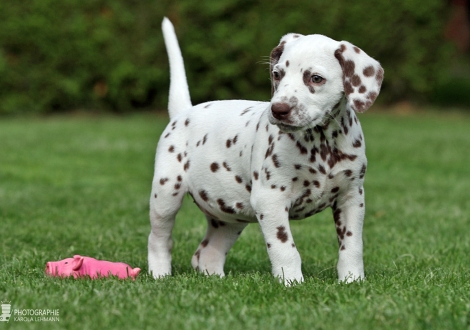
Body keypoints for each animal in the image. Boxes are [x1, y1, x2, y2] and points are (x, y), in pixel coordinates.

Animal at [149, 16, 384, 284]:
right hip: (166, 195)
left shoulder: (351, 198)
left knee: (206, 253)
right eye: (277, 74)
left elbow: (352, 246)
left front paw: (352, 281)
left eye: (315, 78)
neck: (321, 144)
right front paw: (291, 282)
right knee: (159, 240)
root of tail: (184, 112)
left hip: (230, 216)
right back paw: (160, 275)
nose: (278, 109)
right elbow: (285, 248)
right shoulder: (270, 200)